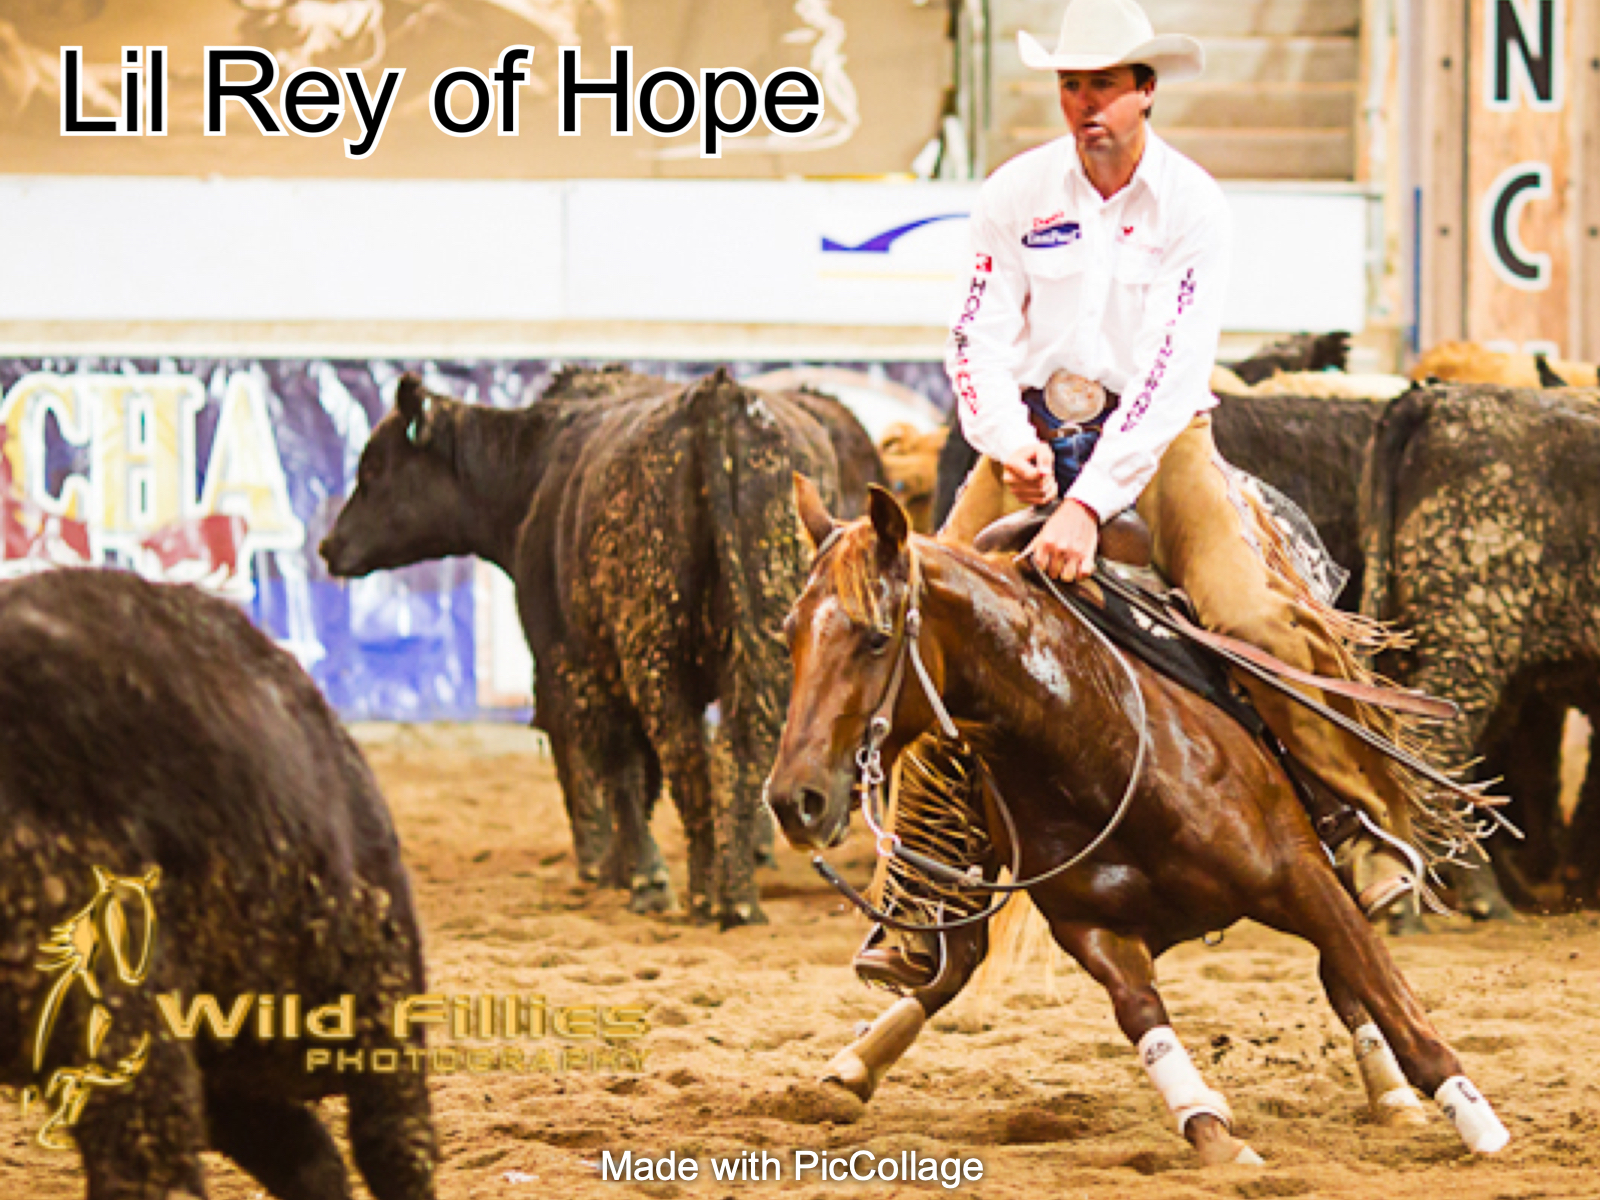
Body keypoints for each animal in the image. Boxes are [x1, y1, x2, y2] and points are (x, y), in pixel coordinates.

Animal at [320, 366, 884, 928]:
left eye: (373, 468)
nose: (328, 546)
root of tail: (718, 397)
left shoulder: (570, 662)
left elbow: (615, 766)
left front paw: (631, 873)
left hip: (651, 655)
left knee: (685, 759)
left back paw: (702, 894)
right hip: (766, 646)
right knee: (738, 753)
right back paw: (738, 895)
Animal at [763, 479, 1510, 1166]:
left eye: (876, 637)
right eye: (790, 635)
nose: (794, 799)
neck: (1095, 739)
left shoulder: (1301, 876)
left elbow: (1388, 995)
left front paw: (1479, 1125)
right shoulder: (1092, 928)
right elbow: (1143, 1018)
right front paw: (1212, 1133)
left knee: (1348, 970)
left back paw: (1395, 1095)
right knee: (952, 963)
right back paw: (855, 1065)